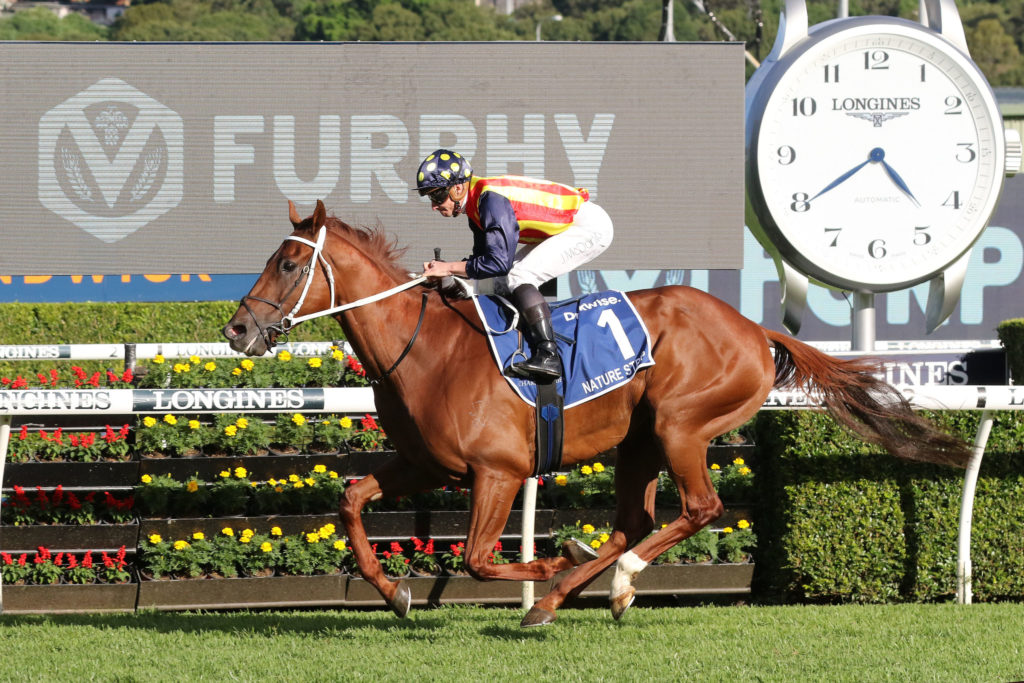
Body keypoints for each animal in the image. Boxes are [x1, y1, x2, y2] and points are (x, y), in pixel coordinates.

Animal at [223, 199, 972, 627]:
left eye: (288, 263)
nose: (236, 330)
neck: (425, 346)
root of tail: (754, 328)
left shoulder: (497, 471)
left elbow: (478, 559)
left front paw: (554, 563)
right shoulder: (424, 463)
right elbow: (352, 500)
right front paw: (397, 595)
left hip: (680, 424)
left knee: (697, 508)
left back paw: (613, 585)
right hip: (638, 440)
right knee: (634, 521)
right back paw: (573, 595)